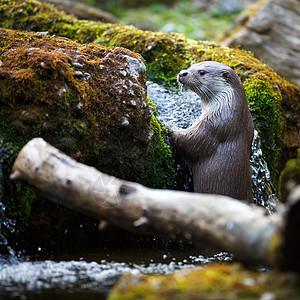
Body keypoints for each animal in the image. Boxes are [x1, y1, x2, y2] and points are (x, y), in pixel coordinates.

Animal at [168, 60, 254, 202]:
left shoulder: (213, 126)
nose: (182, 73)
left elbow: (189, 142)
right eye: (191, 66)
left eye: (202, 72)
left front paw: (169, 124)